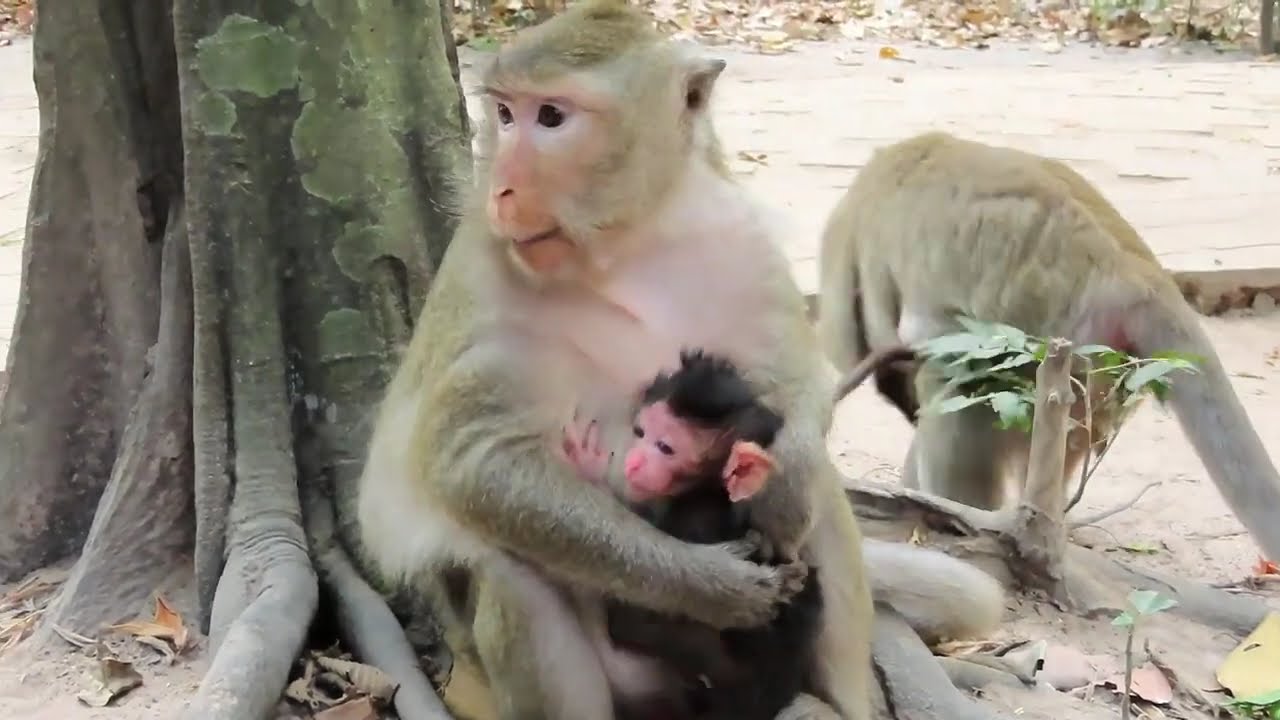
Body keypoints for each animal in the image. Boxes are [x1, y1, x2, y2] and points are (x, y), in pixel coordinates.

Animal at [561, 348, 828, 720]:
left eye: (665, 448)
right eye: (640, 432)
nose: (633, 461)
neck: (709, 493)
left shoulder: (697, 521)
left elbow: (635, 618)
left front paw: (591, 473)